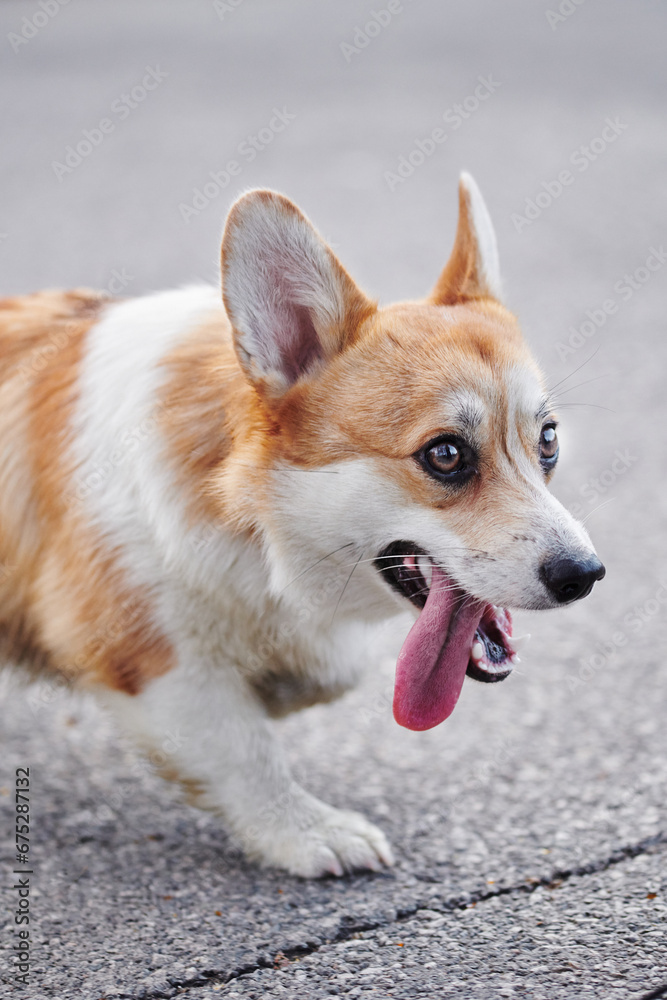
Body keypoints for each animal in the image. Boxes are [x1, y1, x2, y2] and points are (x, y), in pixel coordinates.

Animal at [0, 176, 604, 880]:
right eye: (446, 454)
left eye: (549, 440)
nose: (585, 575)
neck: (249, 520)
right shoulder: (144, 651)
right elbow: (244, 747)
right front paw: (307, 831)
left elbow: (319, 676)